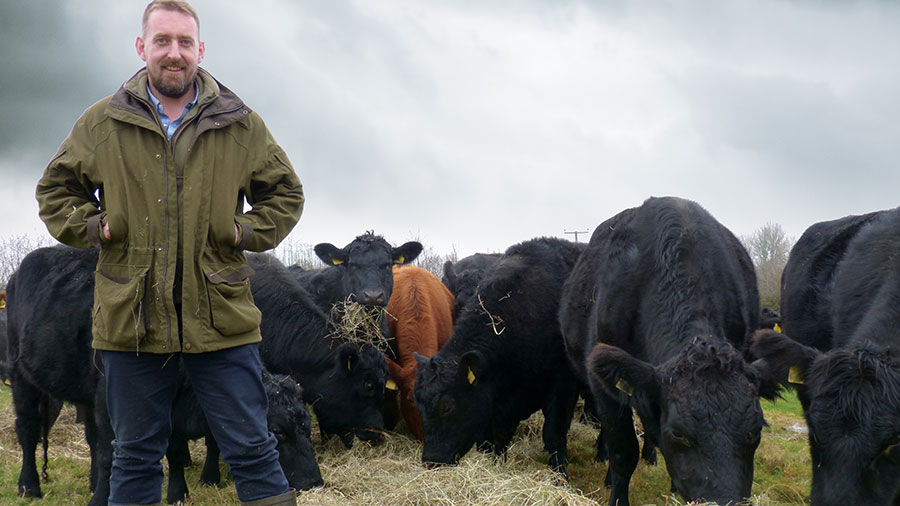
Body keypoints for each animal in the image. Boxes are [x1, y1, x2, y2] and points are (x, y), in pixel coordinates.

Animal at [414, 236, 584, 474]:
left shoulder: (563, 384)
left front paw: (560, 477)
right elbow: (495, 437)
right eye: (418, 404)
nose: (431, 460)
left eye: (447, 407)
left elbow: (554, 434)